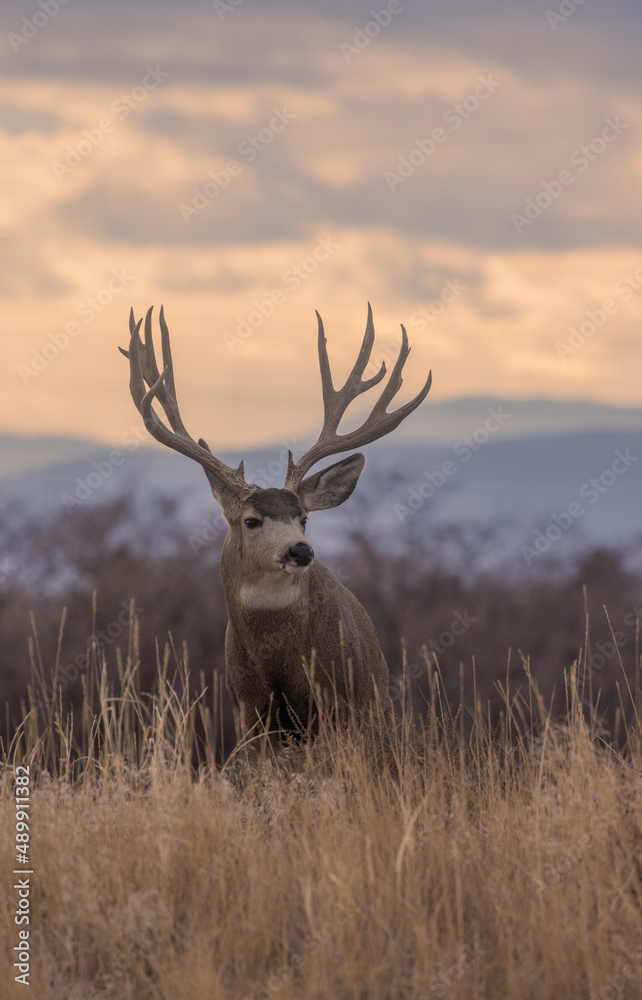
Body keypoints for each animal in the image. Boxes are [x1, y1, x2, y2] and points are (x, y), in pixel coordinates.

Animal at [120, 304, 430, 744]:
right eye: (251, 520)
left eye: (304, 518)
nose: (300, 549)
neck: (279, 666)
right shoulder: (248, 711)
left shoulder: (335, 704)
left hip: (375, 709)